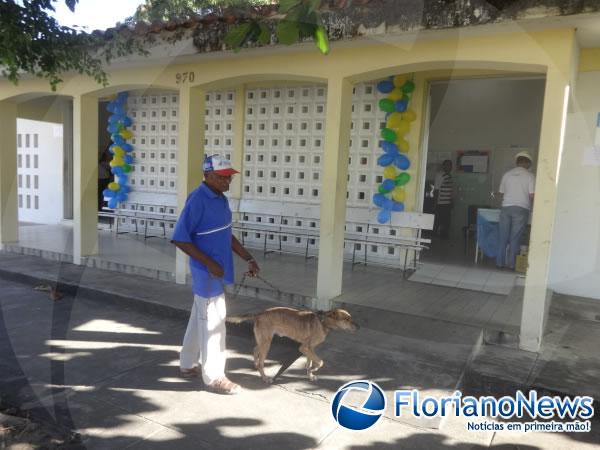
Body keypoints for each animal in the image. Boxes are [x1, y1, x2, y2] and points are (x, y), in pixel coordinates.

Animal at [227, 306, 358, 384]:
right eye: (346, 319)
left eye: (351, 318)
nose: (359, 326)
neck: (323, 322)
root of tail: (259, 314)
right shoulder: (304, 348)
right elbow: (320, 362)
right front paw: (313, 369)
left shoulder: (309, 348)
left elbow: (310, 362)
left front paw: (310, 374)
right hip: (266, 343)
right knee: (261, 362)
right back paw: (265, 378)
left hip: (263, 341)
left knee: (255, 350)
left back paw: (255, 366)